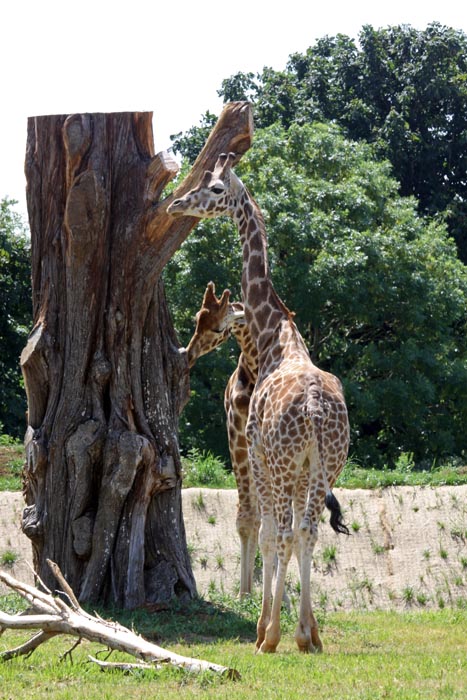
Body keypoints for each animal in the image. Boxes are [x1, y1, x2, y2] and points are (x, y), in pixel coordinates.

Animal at [168, 153, 350, 654]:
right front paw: (305, 628)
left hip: (284, 463)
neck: (275, 337)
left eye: (215, 189)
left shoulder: (256, 450)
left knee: (283, 530)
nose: (175, 204)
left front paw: (265, 625)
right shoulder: (301, 467)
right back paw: (305, 635)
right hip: (325, 465)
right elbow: (293, 535)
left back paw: (273, 634)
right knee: (307, 531)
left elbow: (268, 533)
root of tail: (314, 410)